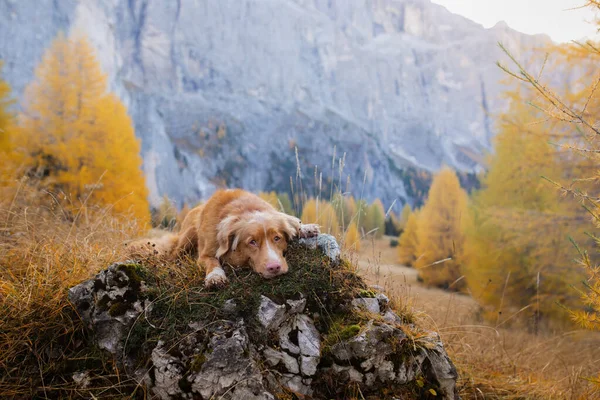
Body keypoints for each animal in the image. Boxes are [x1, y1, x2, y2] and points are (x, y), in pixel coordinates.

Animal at [129, 190, 322, 288]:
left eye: (277, 238)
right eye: (252, 242)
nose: (274, 267)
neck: (245, 210)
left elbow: (289, 219)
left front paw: (304, 228)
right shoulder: (205, 254)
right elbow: (212, 261)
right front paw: (215, 276)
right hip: (187, 236)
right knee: (173, 254)